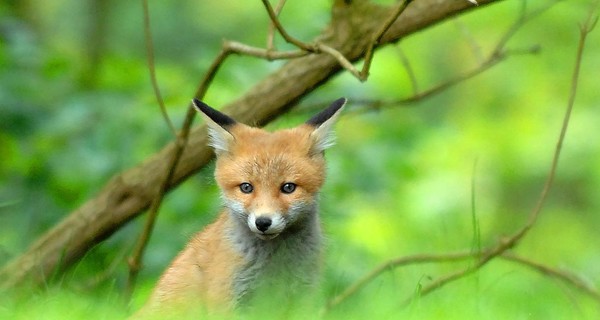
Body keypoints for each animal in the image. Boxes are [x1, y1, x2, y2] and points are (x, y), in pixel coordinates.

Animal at [134, 97, 344, 318]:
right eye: (246, 187)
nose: (263, 222)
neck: (276, 265)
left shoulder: (303, 297)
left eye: (288, 188)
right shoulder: (226, 300)